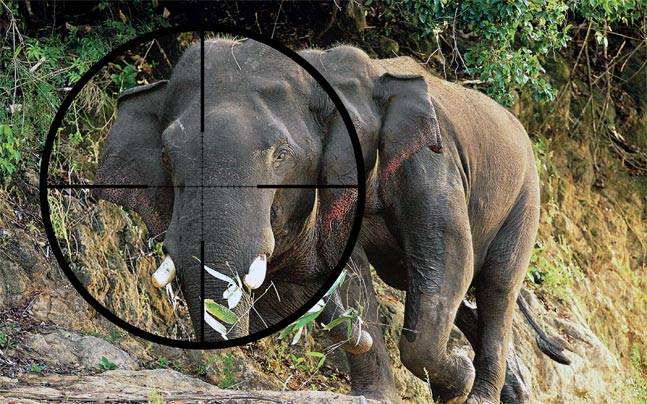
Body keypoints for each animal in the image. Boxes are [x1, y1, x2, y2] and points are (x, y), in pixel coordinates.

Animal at [94, 39, 570, 403]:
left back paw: (481, 393)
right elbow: (327, 270)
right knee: (419, 281)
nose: (348, 326)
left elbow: (449, 257)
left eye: (281, 155)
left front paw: (455, 380)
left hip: (525, 198)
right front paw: (379, 390)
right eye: (167, 155)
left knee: (494, 286)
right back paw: (511, 387)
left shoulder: (430, 161)